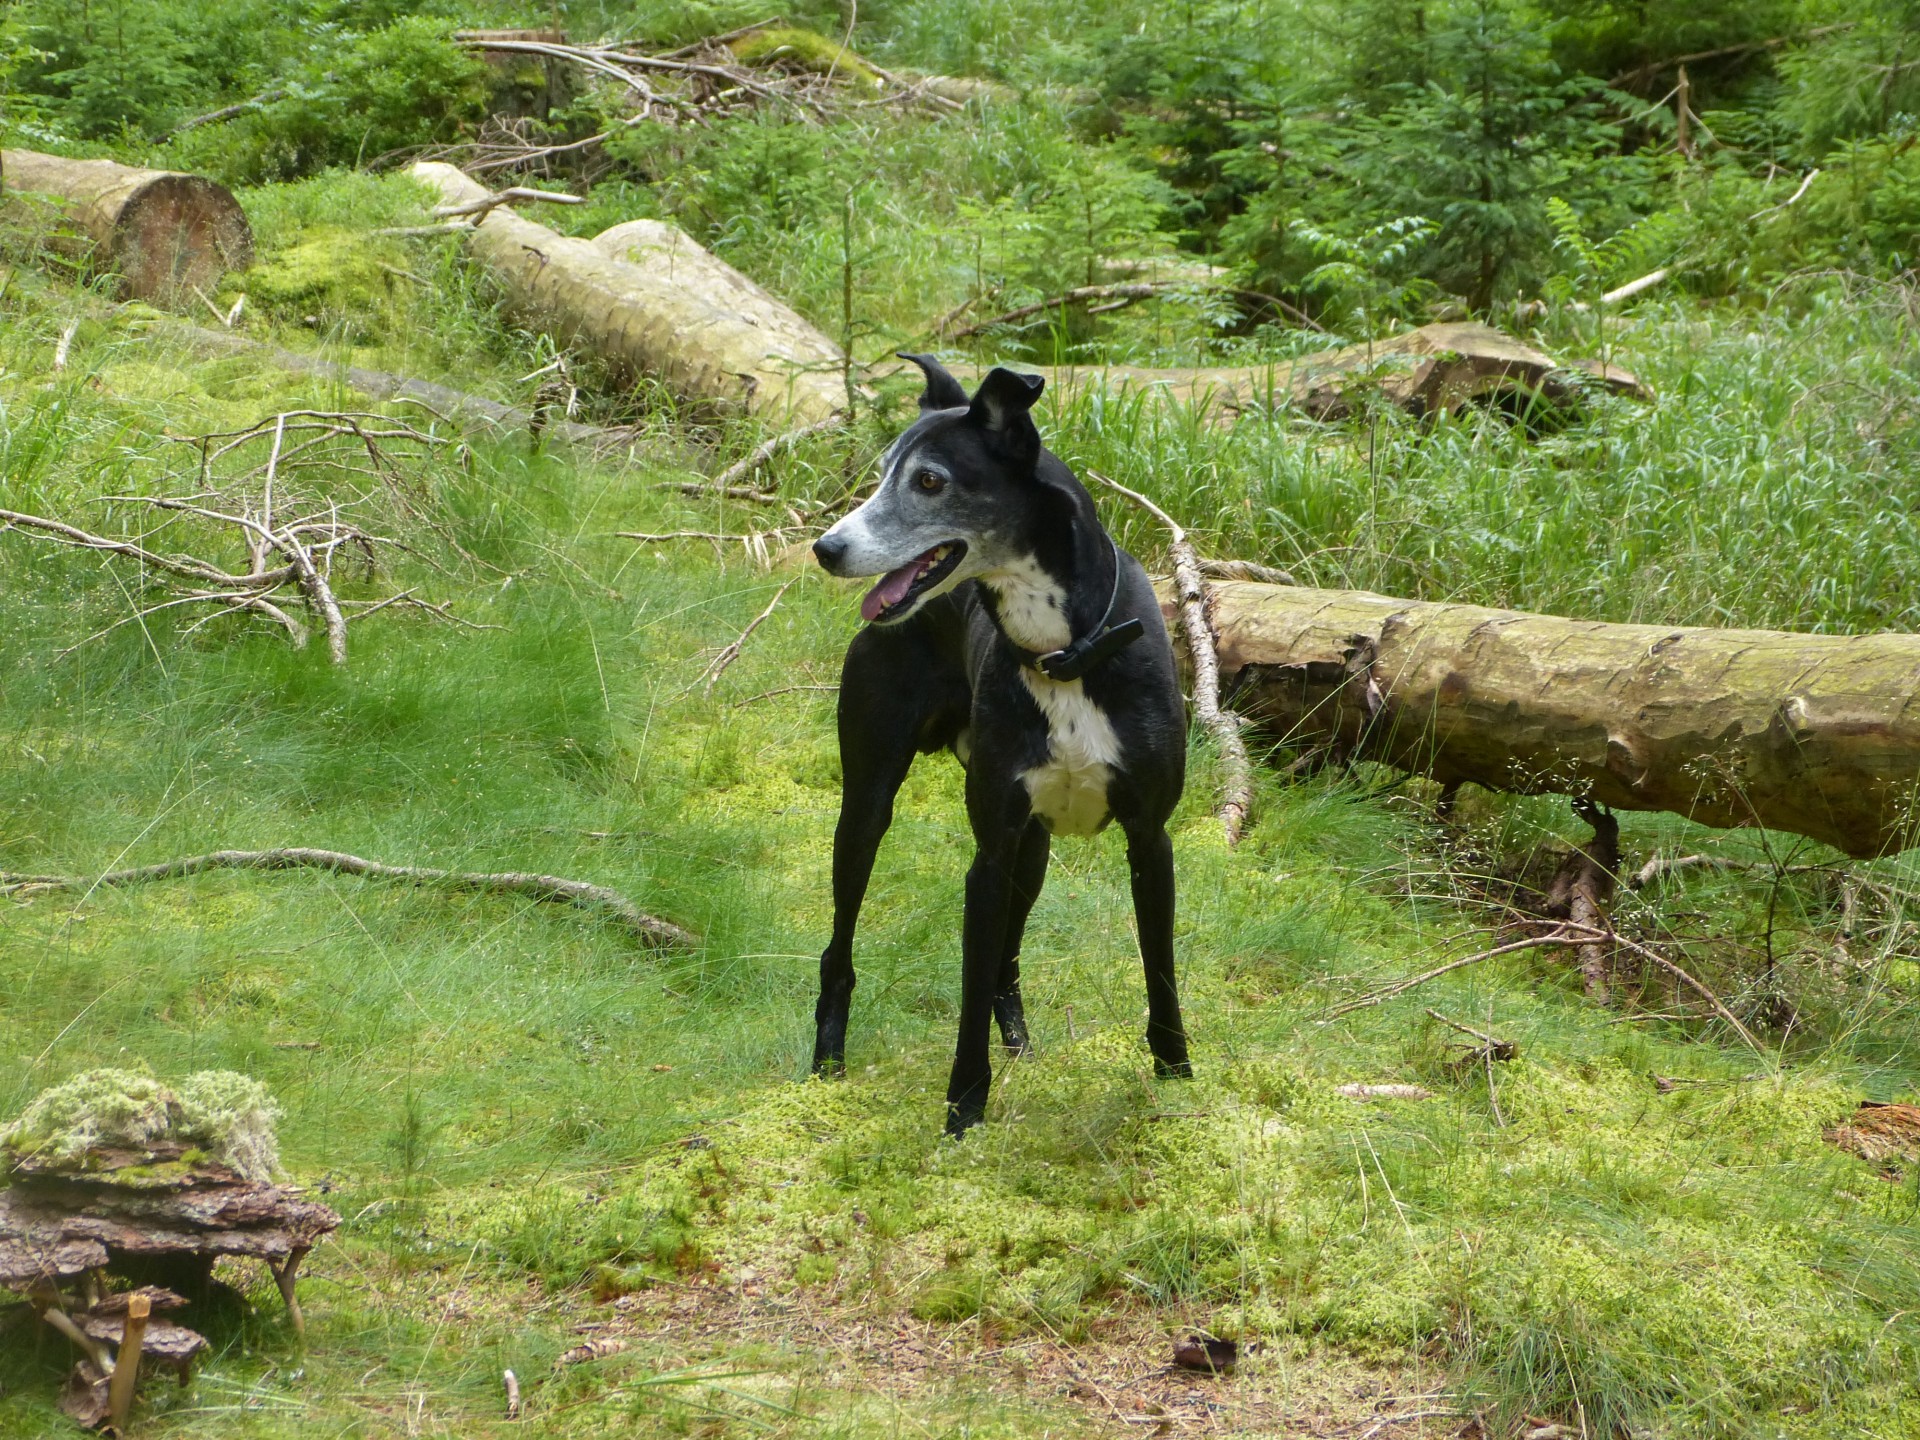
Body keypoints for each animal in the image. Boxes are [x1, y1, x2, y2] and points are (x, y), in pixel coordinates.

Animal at [806, 353, 1182, 1136]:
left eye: (929, 481)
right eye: (884, 471)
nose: (825, 549)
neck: (1063, 653)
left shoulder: (1148, 838)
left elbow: (1159, 970)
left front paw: (1178, 1077)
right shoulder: (988, 855)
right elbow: (970, 990)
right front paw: (963, 1109)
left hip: (1031, 851)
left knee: (1009, 956)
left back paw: (1019, 1042)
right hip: (868, 808)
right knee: (840, 947)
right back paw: (827, 1060)